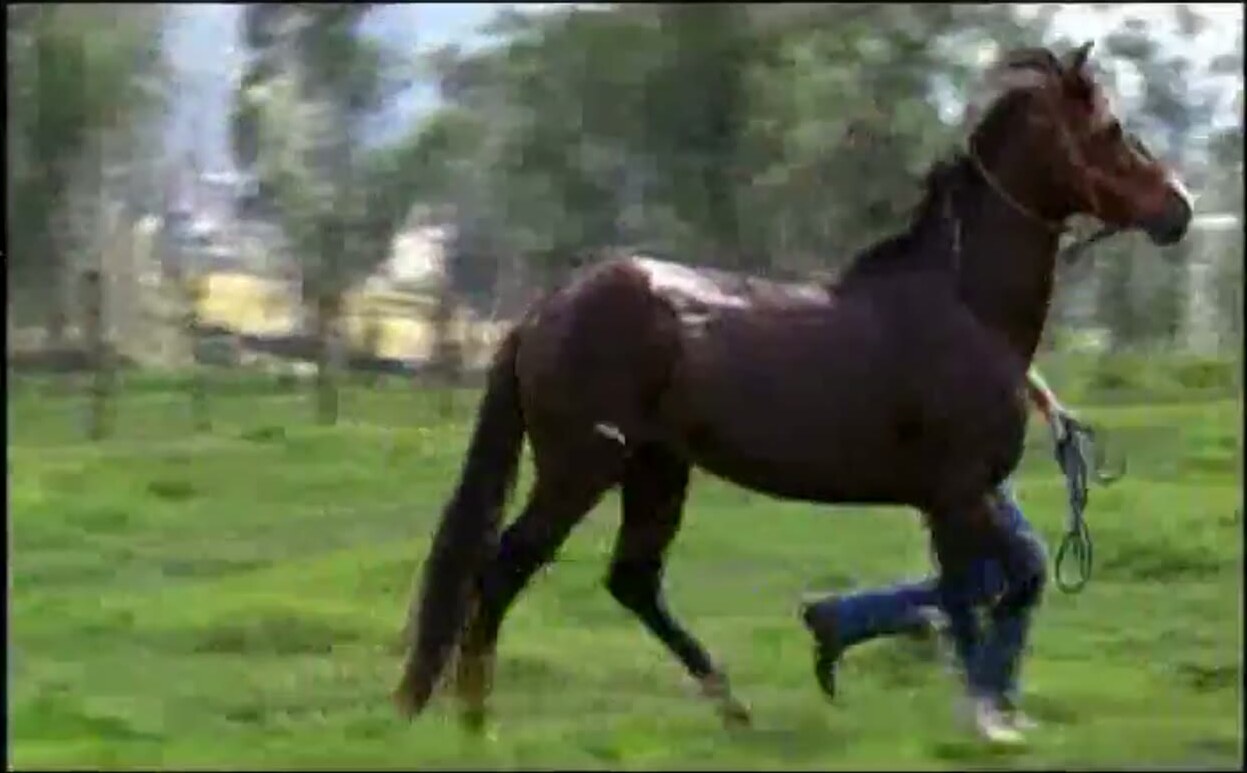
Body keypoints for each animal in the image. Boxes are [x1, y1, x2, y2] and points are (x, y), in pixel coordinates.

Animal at [393, 42, 1193, 731]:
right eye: (1111, 129)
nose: (1177, 209)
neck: (964, 305)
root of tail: (540, 313)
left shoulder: (957, 495)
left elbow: (997, 582)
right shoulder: (958, 490)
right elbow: (980, 593)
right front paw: (981, 715)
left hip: (657, 469)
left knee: (632, 581)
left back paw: (733, 705)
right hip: (579, 468)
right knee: (502, 570)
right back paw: (476, 719)